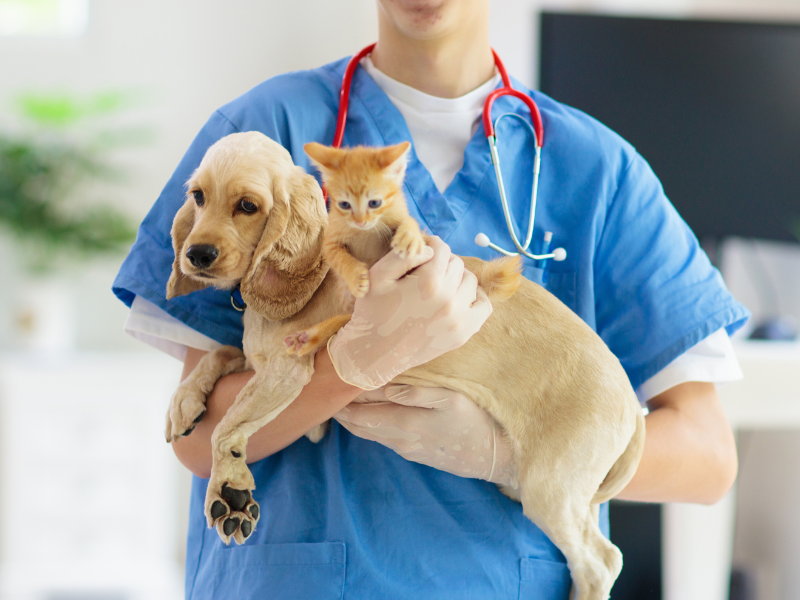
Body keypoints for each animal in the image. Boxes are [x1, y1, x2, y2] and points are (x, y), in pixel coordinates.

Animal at [284, 141, 520, 356]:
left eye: (374, 203)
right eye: (344, 205)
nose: (361, 221)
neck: (366, 231)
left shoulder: (400, 216)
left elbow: (410, 223)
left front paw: (408, 236)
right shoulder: (330, 243)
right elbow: (341, 258)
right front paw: (356, 276)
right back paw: (306, 338)